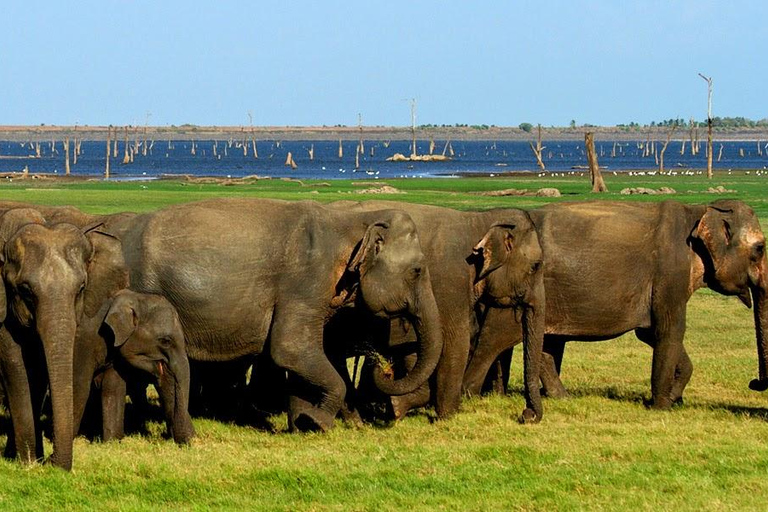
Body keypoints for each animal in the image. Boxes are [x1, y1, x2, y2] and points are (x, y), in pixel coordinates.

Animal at [0, 207, 124, 468]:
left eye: (81, 288)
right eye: (25, 290)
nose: (51, 460)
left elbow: (37, 373)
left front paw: (25, 458)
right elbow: (16, 367)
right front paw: (28, 463)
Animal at [74, 288, 195, 444]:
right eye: (166, 341)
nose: (190, 443)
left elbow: (113, 387)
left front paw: (112, 442)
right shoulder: (83, 343)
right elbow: (79, 385)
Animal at [108, 198, 444, 430]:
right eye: (417, 270)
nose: (383, 368)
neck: (353, 221)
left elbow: (300, 356)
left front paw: (302, 423)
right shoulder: (306, 280)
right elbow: (290, 349)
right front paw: (317, 422)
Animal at [324, 201, 544, 424]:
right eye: (535, 266)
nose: (527, 415)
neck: (478, 219)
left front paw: (396, 406)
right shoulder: (450, 281)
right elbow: (455, 341)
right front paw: (447, 416)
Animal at [462, 198, 768, 410]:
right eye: (760, 248)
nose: (754, 383)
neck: (699, 211)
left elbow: (649, 333)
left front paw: (674, 397)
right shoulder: (670, 271)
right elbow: (668, 330)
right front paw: (661, 406)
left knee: (546, 345)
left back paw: (562, 397)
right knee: (498, 337)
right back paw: (470, 394)